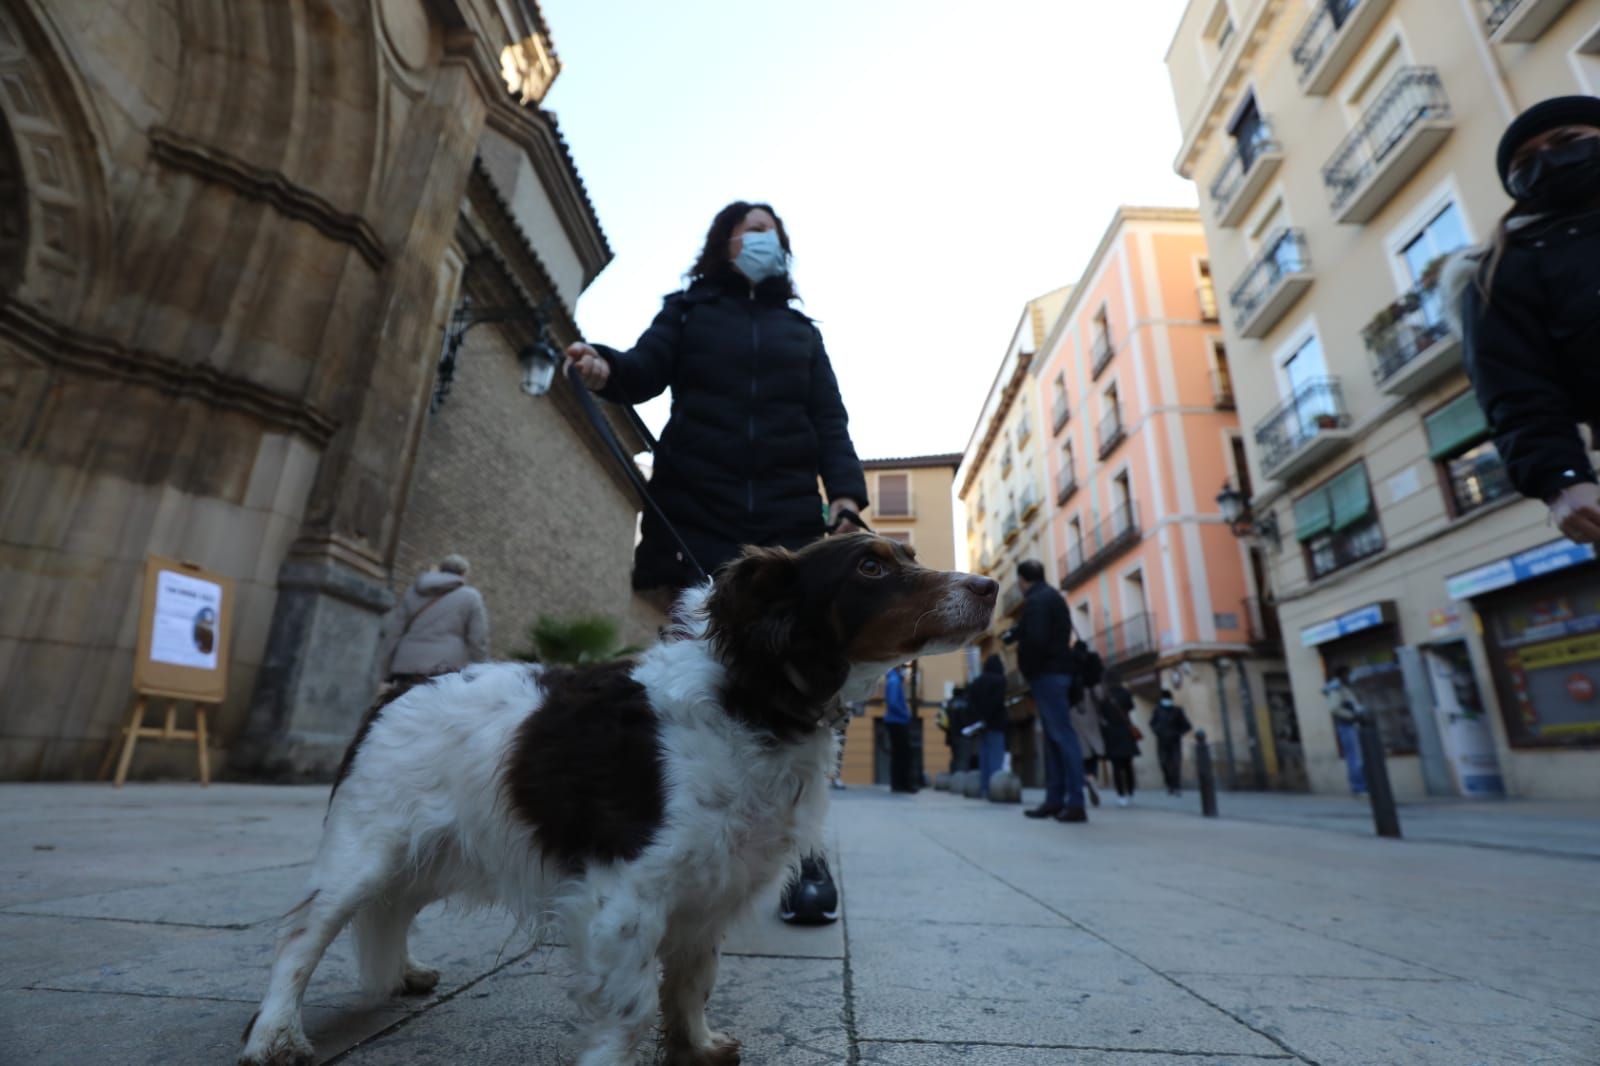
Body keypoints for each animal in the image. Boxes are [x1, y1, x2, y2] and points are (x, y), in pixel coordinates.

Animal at [238, 531, 992, 1062]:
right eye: (870, 568)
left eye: (905, 556)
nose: (988, 585)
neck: (753, 700)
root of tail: (396, 692)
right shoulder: (625, 893)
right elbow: (627, 1011)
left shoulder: (709, 888)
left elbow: (692, 980)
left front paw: (697, 1046)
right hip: (365, 852)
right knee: (301, 934)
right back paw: (274, 1035)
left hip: (436, 854)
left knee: (392, 913)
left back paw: (404, 973)